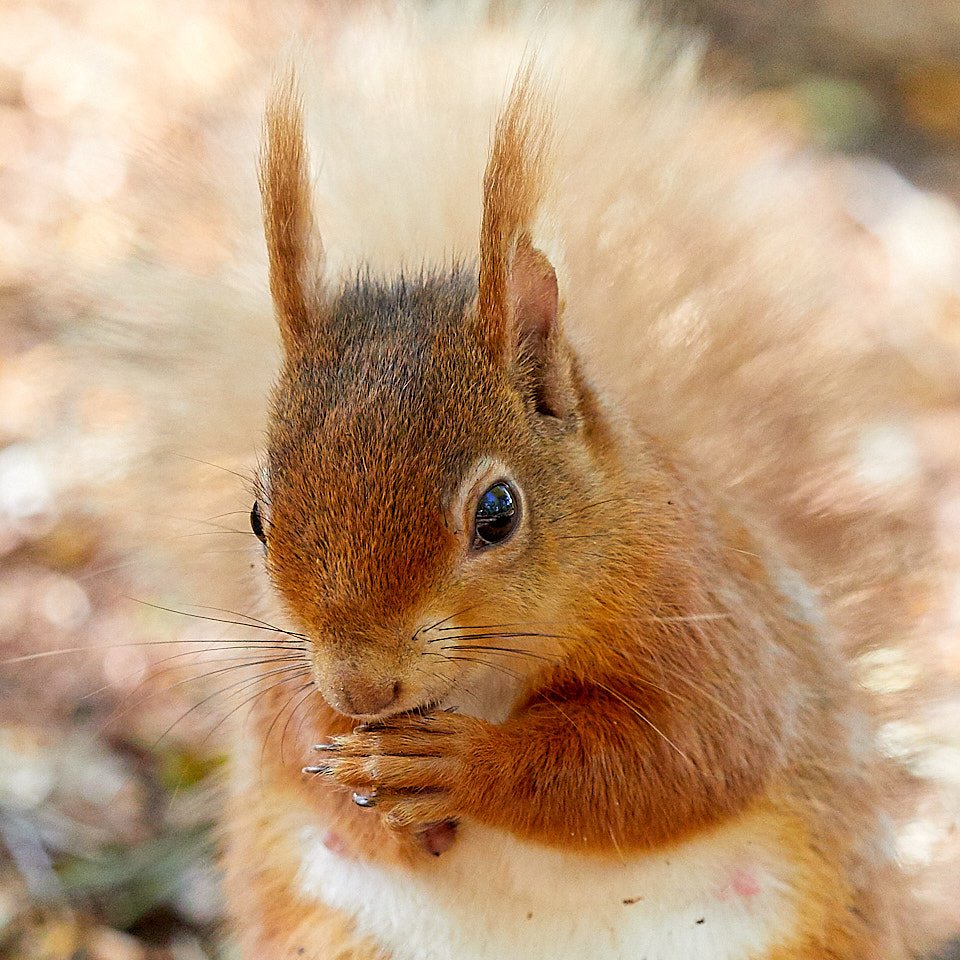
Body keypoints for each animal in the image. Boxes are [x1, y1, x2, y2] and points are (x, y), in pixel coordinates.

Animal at [108, 3, 954, 960]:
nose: (360, 688)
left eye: (498, 512)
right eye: (256, 517)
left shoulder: (709, 621)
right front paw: (357, 773)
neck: (481, 679)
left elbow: (686, 756)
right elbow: (288, 743)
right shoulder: (280, 673)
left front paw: (459, 766)